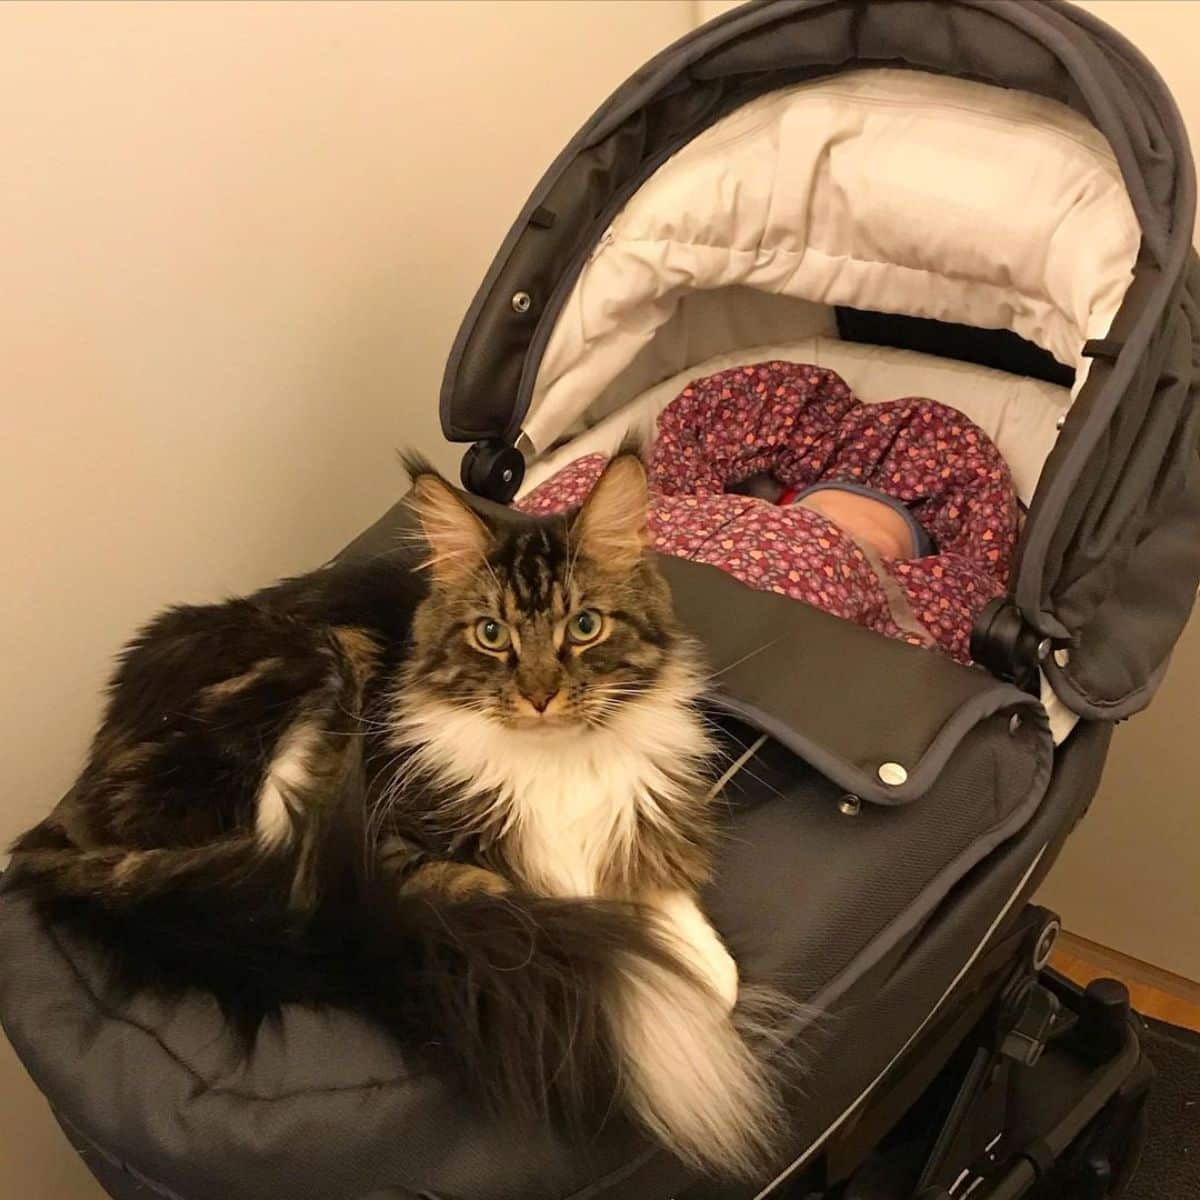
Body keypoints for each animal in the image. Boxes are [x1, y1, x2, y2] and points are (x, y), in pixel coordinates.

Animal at [7, 448, 787, 1171]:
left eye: (586, 626)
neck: (553, 762)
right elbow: (540, 908)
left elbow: (687, 932)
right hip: (311, 680)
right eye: (491, 635)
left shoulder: (635, 813)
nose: (539, 695)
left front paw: (695, 967)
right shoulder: (398, 844)